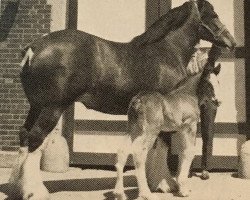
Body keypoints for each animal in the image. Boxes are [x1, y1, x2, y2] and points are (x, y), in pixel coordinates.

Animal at [114, 63, 222, 199]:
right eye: (208, 83)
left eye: (218, 82)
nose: (218, 101)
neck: (188, 95)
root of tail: (137, 101)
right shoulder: (190, 126)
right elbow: (189, 152)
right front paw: (183, 189)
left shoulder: (180, 130)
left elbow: (182, 152)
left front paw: (180, 186)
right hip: (150, 131)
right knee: (139, 153)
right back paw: (146, 194)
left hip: (134, 129)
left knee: (122, 150)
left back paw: (119, 193)